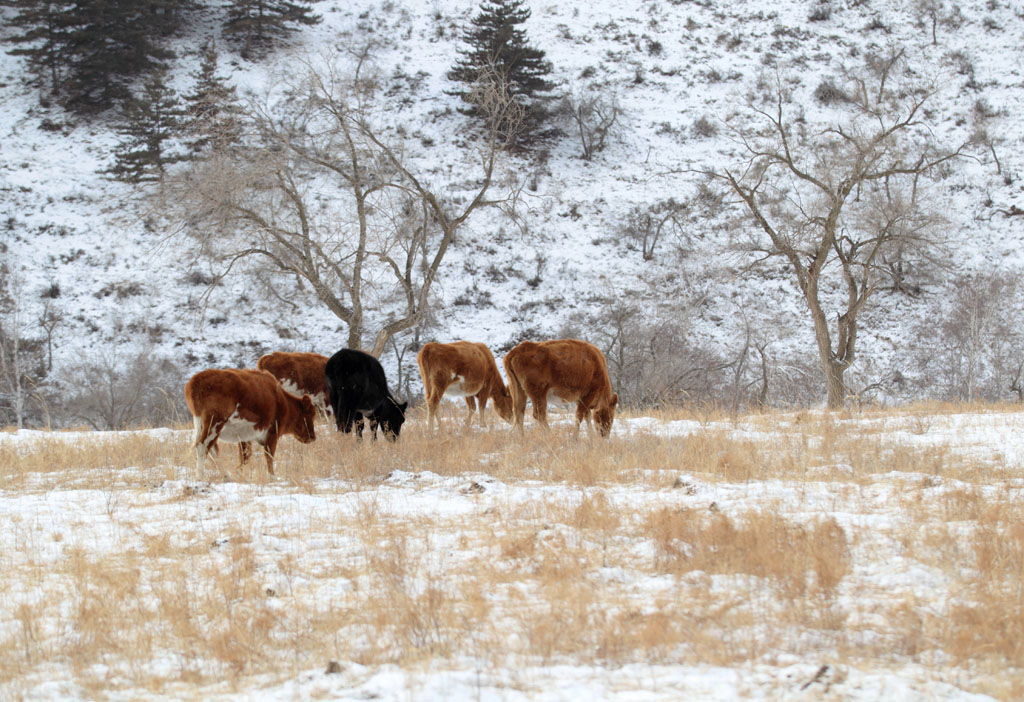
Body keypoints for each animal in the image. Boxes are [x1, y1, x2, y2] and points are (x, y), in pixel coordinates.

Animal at [184, 368, 317, 478]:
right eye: (310, 414)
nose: (312, 437)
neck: (282, 401)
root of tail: (195, 380)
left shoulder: (244, 436)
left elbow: (245, 457)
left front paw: (237, 473)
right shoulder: (272, 433)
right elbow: (269, 456)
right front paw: (272, 476)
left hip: (203, 424)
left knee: (211, 449)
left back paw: (224, 474)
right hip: (214, 423)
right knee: (203, 446)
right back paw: (200, 476)